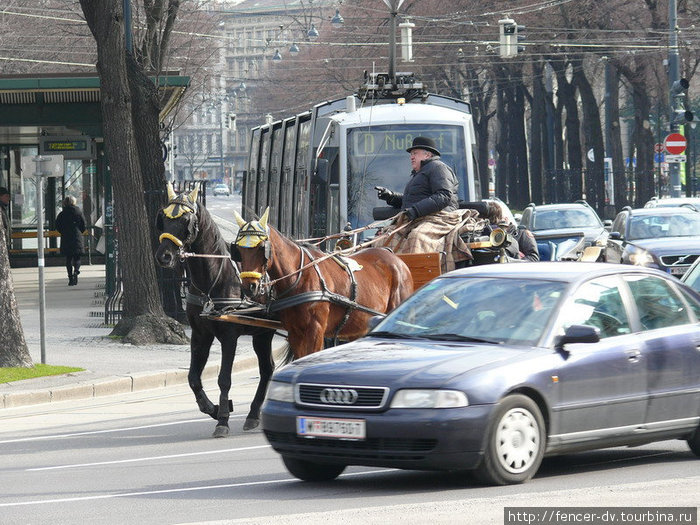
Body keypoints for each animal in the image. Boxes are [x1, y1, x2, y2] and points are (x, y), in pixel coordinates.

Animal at [232, 207, 412, 358]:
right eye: (238, 250)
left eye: (262, 247)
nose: (249, 287)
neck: (300, 276)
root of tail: (393, 256)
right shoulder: (295, 332)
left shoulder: (316, 330)